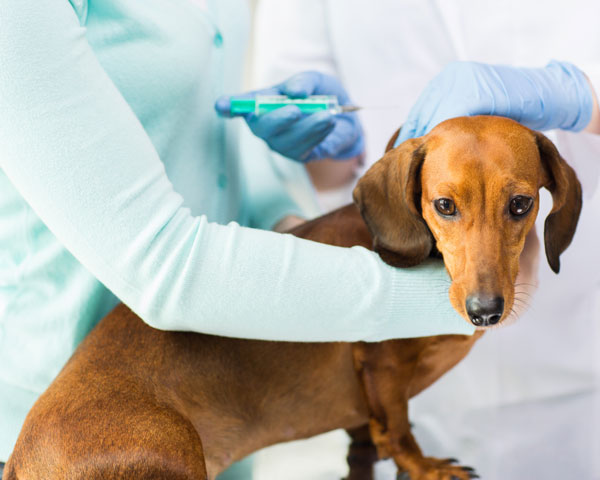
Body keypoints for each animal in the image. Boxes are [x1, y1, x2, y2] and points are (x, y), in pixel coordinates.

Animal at [2, 116, 580, 480]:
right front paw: (426, 466)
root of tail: (22, 457)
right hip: (170, 448)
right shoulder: (381, 365)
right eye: (444, 205)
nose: (485, 312)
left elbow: (372, 435)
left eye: (521, 204)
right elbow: (398, 430)